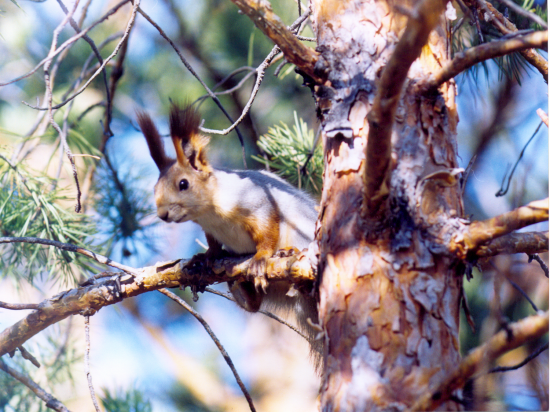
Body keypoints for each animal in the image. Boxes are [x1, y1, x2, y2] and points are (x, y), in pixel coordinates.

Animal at [135, 103, 322, 366]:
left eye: (183, 184)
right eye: (155, 188)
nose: (162, 214)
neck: (210, 212)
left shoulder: (258, 203)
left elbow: (267, 230)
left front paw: (261, 258)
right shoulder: (210, 229)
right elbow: (213, 246)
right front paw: (205, 257)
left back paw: (288, 253)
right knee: (254, 306)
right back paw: (241, 287)